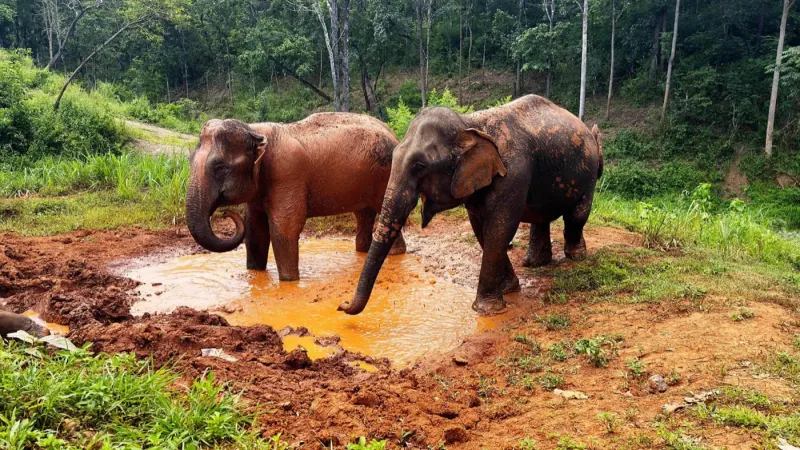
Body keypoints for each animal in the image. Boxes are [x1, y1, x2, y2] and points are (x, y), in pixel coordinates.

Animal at [186, 113, 406, 281]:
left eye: (219, 167)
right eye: (189, 160)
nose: (224, 213)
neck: (255, 130)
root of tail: (394, 134)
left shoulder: (287, 174)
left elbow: (284, 228)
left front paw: (290, 281)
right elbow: (254, 228)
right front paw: (255, 274)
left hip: (386, 175)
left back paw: (396, 254)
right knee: (363, 214)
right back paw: (364, 251)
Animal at [339, 95, 603, 315]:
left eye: (419, 166)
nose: (341, 305)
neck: (470, 124)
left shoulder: (514, 173)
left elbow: (500, 228)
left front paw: (487, 309)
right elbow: (481, 228)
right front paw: (509, 289)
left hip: (587, 174)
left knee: (577, 215)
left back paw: (575, 256)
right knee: (542, 217)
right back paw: (535, 263)